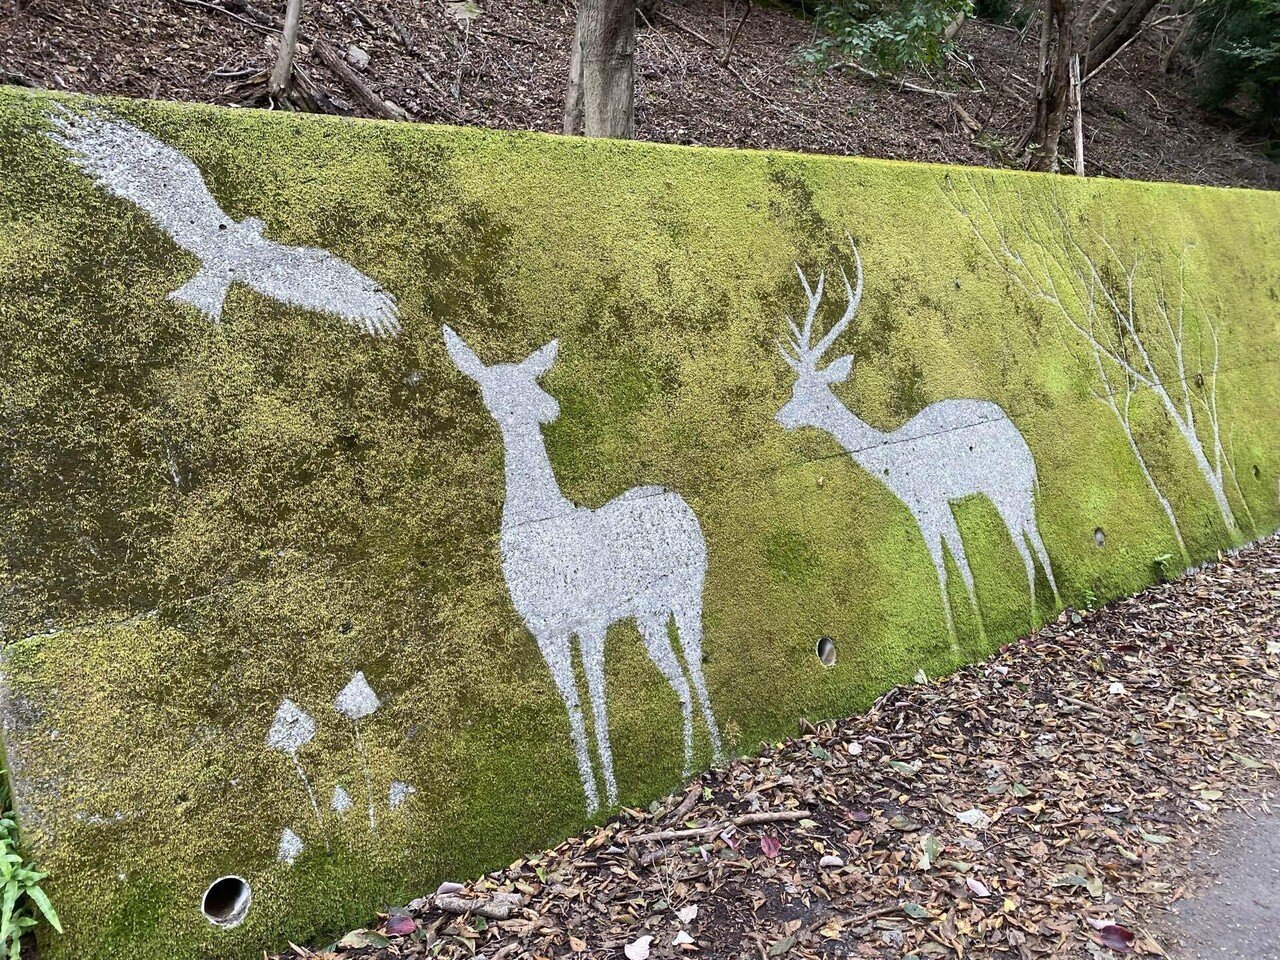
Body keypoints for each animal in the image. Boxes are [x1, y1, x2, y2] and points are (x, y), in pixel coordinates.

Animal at [443, 325, 723, 815]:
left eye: (532, 377)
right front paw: (593, 802)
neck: (543, 522)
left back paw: (718, 756)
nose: (549, 407)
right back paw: (689, 766)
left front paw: (610, 795)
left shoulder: (591, 622)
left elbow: (598, 703)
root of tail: (675, 496)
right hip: (649, 616)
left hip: (689, 591)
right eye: (494, 387)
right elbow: (574, 710)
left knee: (697, 666)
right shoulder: (547, 635)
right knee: (681, 679)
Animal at [774, 239, 1060, 643]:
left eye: (804, 390)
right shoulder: (926, 508)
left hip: (1003, 486)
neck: (892, 462)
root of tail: (1022, 442)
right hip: (1016, 489)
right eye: (793, 387)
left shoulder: (931, 502)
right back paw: (1056, 606)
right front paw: (965, 636)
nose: (779, 417)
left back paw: (1037, 615)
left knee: (1024, 545)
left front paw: (970, 639)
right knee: (1037, 541)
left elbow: (956, 567)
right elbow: (948, 568)